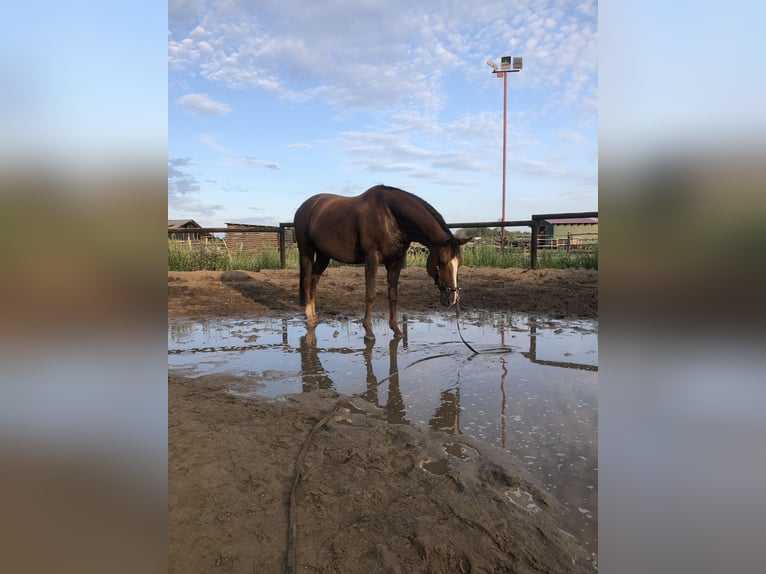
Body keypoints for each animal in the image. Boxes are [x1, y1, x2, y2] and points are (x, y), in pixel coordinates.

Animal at [296, 184, 472, 340]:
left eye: (459, 264)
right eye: (441, 262)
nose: (451, 299)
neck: (390, 217)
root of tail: (306, 206)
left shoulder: (395, 262)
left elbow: (393, 295)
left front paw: (396, 330)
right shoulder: (372, 259)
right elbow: (370, 294)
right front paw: (368, 332)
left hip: (323, 256)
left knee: (314, 280)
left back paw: (314, 315)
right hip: (306, 251)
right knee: (306, 280)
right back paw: (309, 317)